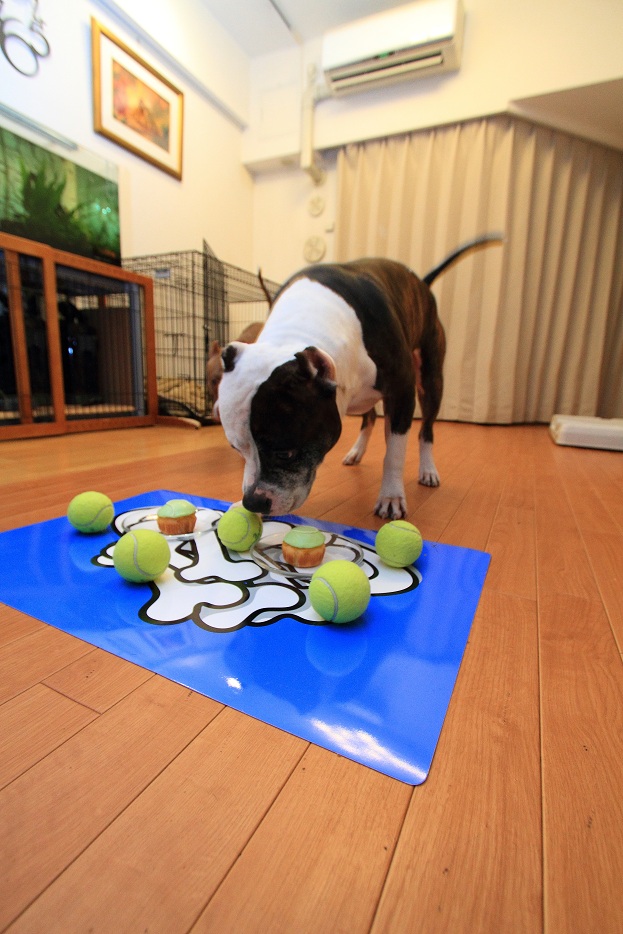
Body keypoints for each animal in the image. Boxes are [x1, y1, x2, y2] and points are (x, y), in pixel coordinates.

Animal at [216, 235, 501, 519]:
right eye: (237, 449)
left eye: (285, 453)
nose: (253, 502)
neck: (294, 332)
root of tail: (420, 283)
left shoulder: (402, 393)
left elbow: (394, 453)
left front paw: (391, 496)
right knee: (371, 417)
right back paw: (356, 452)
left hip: (430, 382)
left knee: (426, 430)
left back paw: (428, 469)